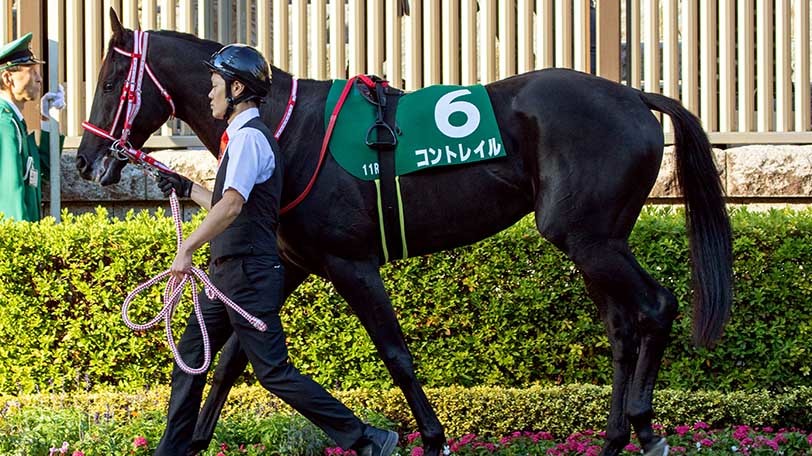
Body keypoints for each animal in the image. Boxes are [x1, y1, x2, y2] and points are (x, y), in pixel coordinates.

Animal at [76, 9, 732, 456]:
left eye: (109, 83)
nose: (85, 162)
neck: (286, 126)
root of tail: (635, 96)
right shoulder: (290, 264)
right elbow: (235, 355)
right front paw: (189, 438)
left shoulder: (349, 261)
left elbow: (394, 353)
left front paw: (429, 437)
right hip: (594, 241)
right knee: (623, 329)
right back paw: (617, 437)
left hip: (588, 238)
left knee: (656, 307)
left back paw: (645, 426)